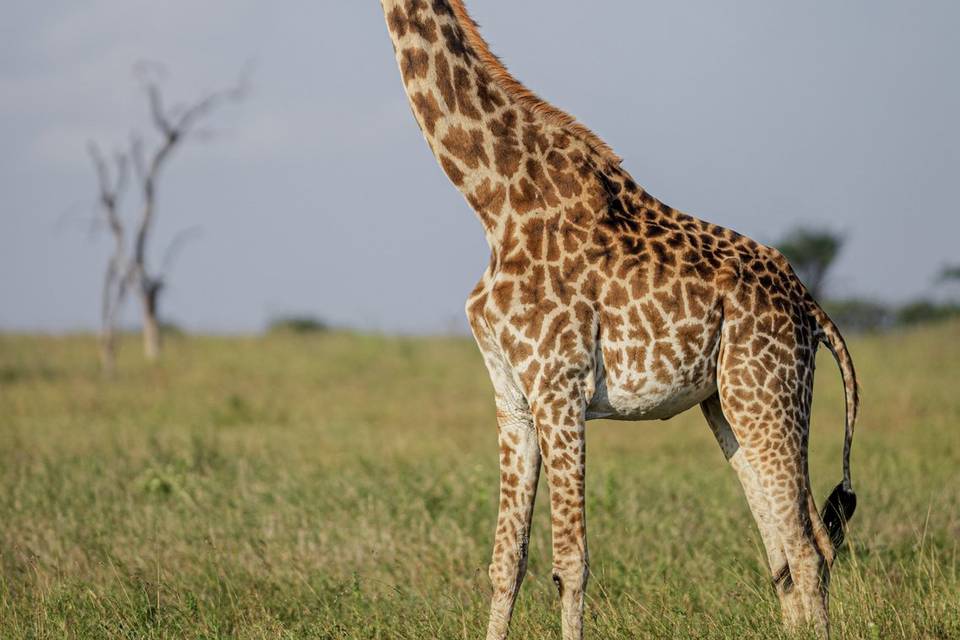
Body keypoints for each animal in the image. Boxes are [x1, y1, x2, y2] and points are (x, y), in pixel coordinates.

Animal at [379, 2, 859, 638]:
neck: (496, 203)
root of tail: (811, 308)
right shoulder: (513, 399)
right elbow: (506, 561)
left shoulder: (559, 390)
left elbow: (569, 564)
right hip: (729, 404)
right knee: (786, 548)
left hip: (770, 394)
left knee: (807, 549)